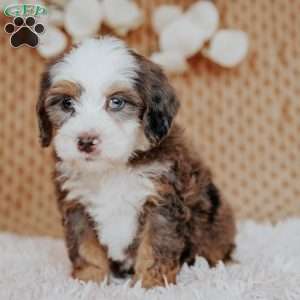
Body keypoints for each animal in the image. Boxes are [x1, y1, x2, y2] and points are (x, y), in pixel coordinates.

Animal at [36, 37, 236, 288]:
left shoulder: (161, 200)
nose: (86, 141)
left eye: (117, 102)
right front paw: (89, 281)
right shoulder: (77, 203)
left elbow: (155, 246)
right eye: (66, 103)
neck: (112, 168)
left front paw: (150, 284)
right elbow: (85, 247)